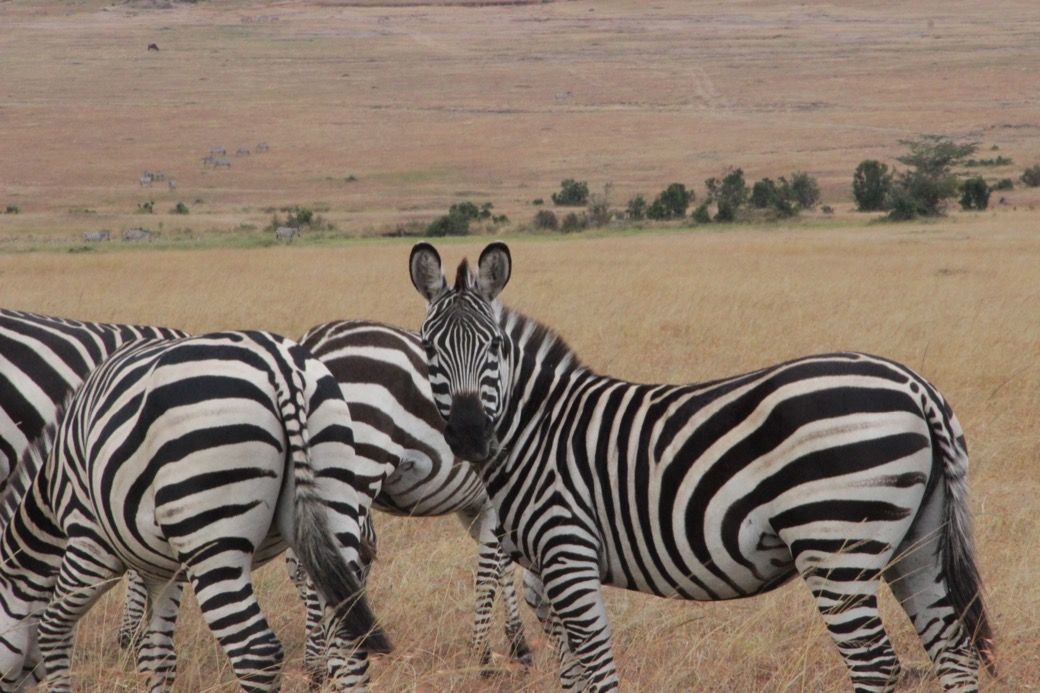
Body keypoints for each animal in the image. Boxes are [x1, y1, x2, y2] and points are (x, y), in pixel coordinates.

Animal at [0, 331, 391, 691]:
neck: (52, 490)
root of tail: (281, 368)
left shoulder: (89, 544)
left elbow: (52, 628)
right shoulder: (162, 568)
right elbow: (156, 656)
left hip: (213, 537)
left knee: (255, 652)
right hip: (336, 500)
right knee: (348, 645)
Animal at [407, 241, 995, 692]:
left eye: (495, 347)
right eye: (429, 349)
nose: (470, 435)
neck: (539, 427)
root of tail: (915, 388)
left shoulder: (568, 552)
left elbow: (598, 671)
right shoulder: (541, 574)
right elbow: (572, 675)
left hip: (835, 545)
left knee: (877, 666)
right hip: (914, 543)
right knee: (953, 654)